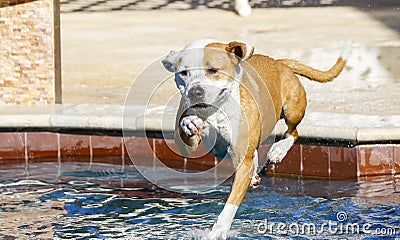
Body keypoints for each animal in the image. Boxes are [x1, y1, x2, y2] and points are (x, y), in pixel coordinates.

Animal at [162, 39, 350, 238]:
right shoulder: (191, 145)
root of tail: (279, 63)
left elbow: (231, 203)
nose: (195, 91)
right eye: (184, 72)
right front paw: (190, 122)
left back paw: (278, 150)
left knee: (293, 132)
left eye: (213, 70)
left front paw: (218, 230)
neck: (217, 110)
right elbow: (187, 136)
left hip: (293, 109)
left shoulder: (242, 159)